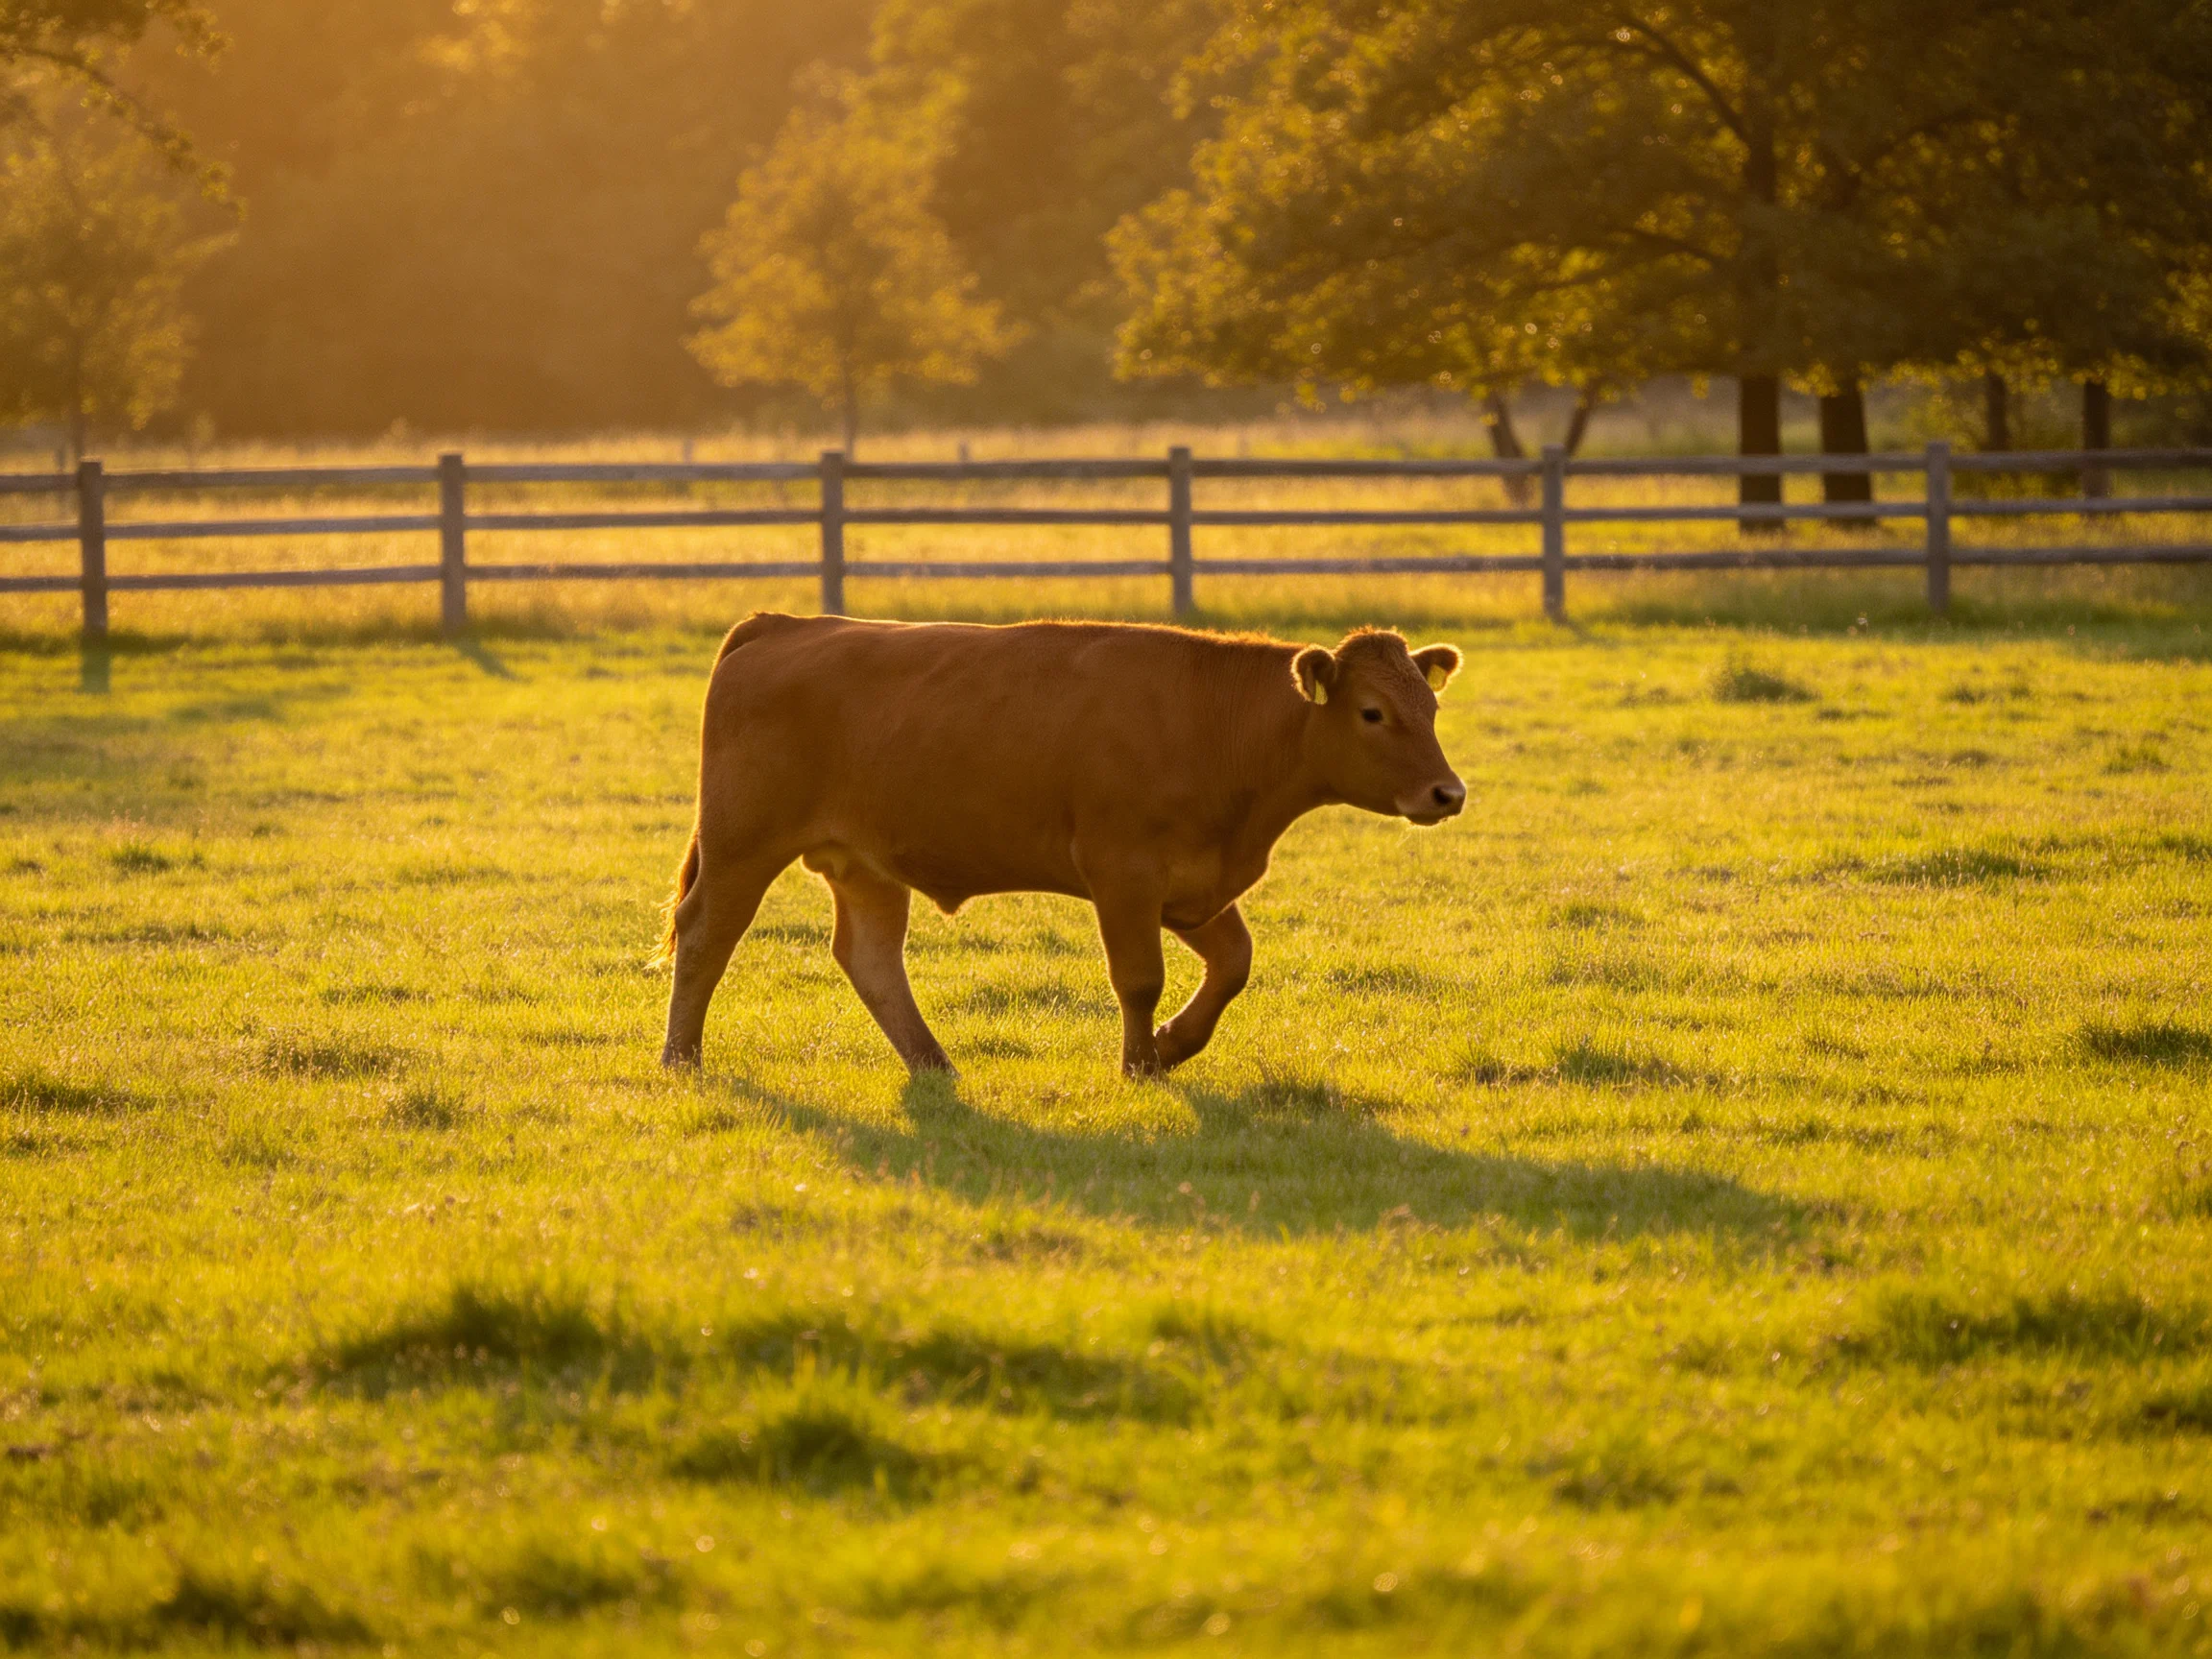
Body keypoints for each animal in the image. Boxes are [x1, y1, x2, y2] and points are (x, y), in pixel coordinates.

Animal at [659, 614, 1464, 1077]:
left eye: (1429, 706)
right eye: (1373, 712)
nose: (1447, 793)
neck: (1216, 721)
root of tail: (783, 624)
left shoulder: (1194, 886)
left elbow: (1234, 963)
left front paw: (1175, 1043)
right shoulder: (1124, 875)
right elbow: (1139, 978)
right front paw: (1140, 1062)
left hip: (865, 864)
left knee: (871, 957)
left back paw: (932, 1061)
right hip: (742, 845)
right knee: (705, 937)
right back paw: (681, 1056)